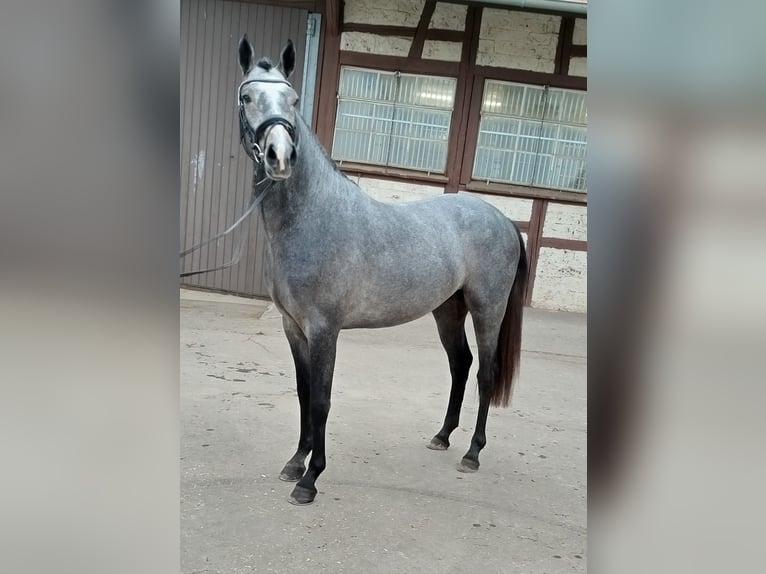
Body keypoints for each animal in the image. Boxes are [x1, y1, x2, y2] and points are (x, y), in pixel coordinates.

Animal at [236, 35, 527, 505]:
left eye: (293, 100)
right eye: (247, 97)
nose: (281, 157)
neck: (314, 217)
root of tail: (502, 219)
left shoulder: (325, 329)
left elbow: (321, 401)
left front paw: (310, 479)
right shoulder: (293, 327)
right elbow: (302, 394)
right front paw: (296, 462)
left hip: (488, 309)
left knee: (485, 373)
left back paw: (472, 453)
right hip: (448, 309)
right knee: (460, 364)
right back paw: (443, 436)